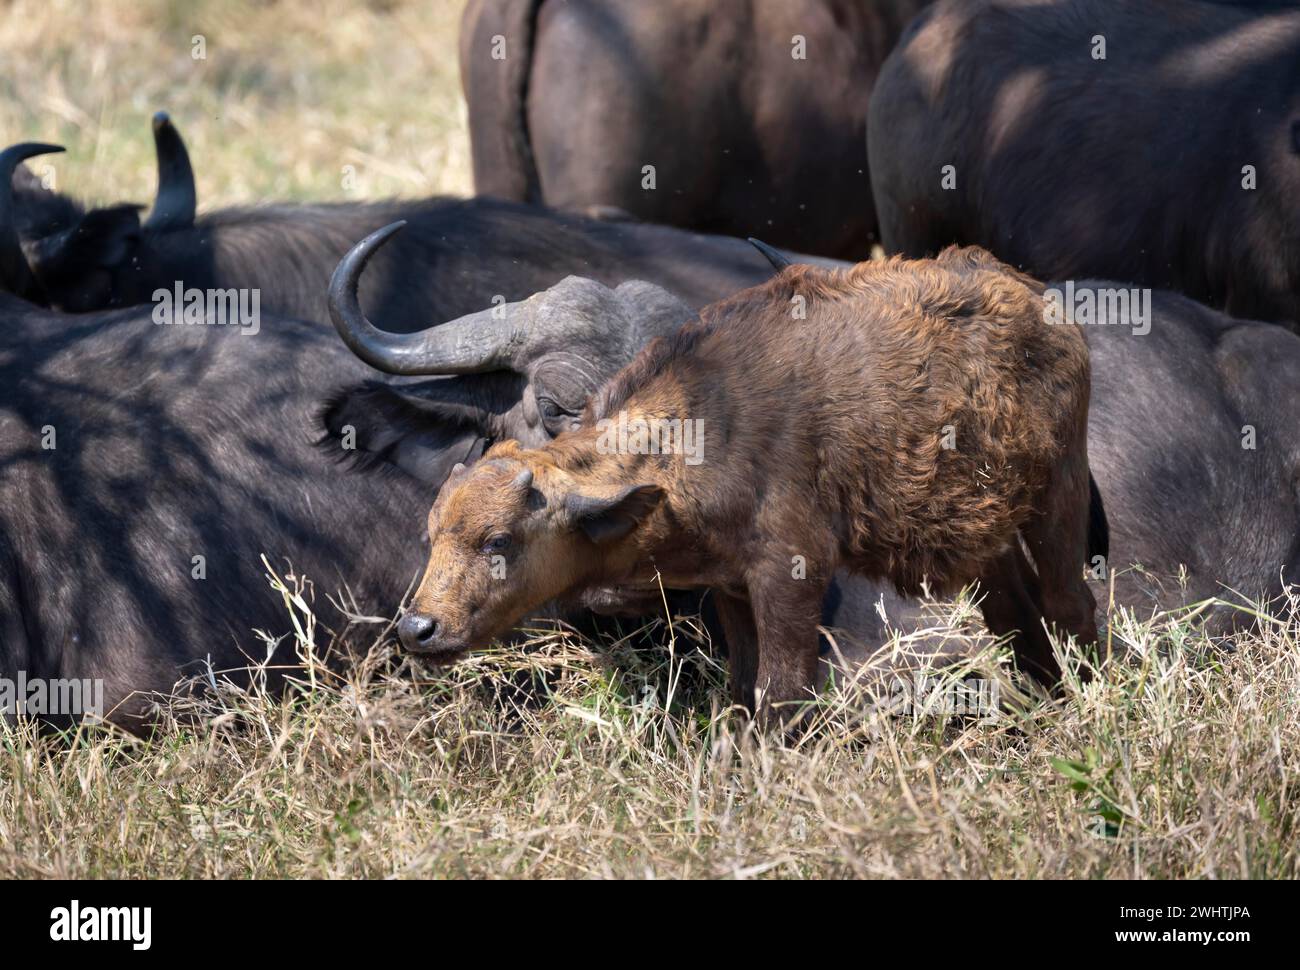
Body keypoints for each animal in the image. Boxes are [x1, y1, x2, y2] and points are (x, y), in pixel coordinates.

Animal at [380, 246, 1104, 717]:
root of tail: (1031, 295)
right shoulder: (729, 584)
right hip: (985, 531)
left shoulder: (792, 576)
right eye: (433, 534)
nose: (417, 628)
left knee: (1070, 603)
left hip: (1059, 495)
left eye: (499, 541)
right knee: (1012, 613)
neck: (702, 429)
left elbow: (781, 696)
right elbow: (741, 692)